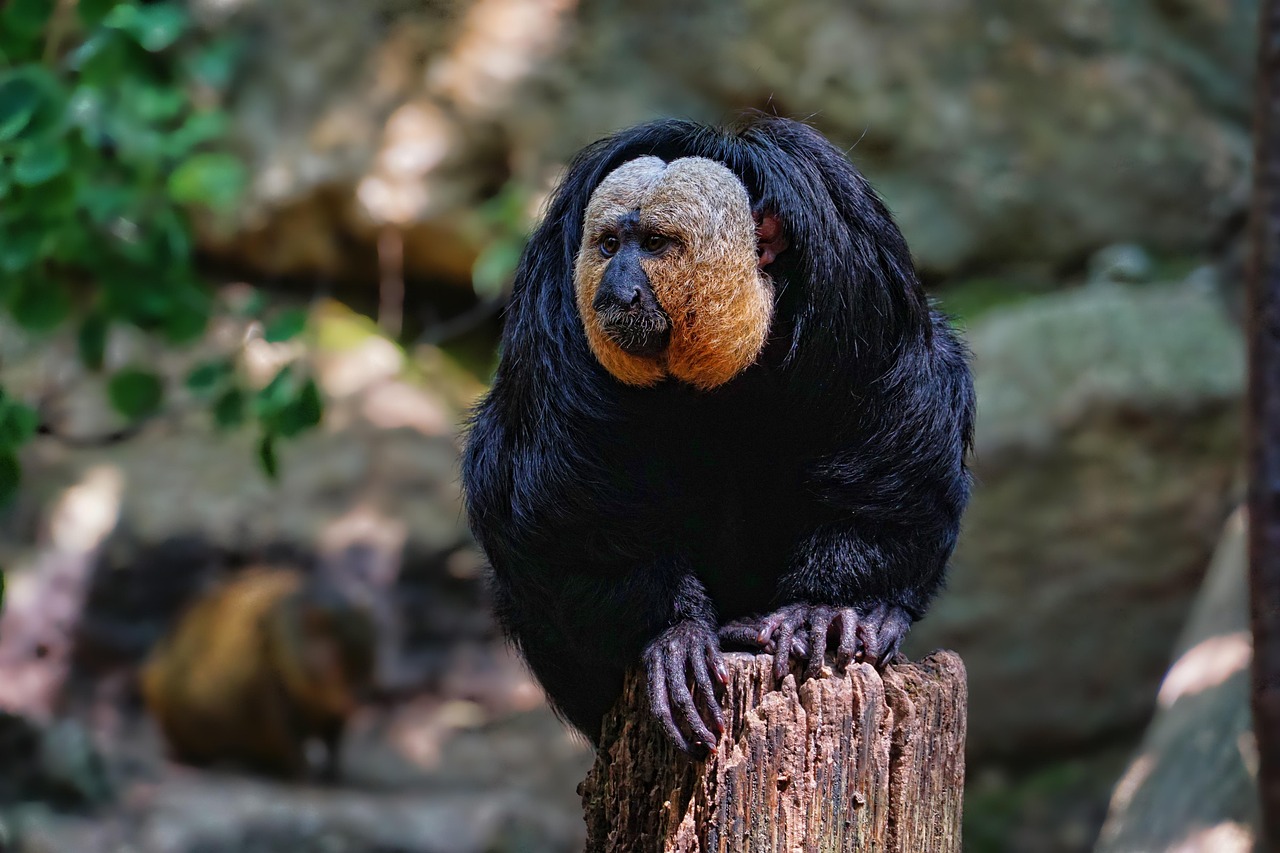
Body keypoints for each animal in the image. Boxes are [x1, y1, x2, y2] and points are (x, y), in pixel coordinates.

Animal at [143, 563, 378, 778]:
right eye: (334, 661)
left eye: (370, 653)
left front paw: (333, 774)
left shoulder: (332, 711)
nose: (361, 700)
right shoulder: (271, 692)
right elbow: (291, 739)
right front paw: (306, 774)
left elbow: (333, 741)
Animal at [465, 112, 972, 753]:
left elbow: (896, 418)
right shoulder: (553, 304)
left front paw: (827, 607)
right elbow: (555, 487)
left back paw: (875, 615)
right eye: (609, 245)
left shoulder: (857, 267)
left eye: (656, 244)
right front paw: (674, 629)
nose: (615, 290)